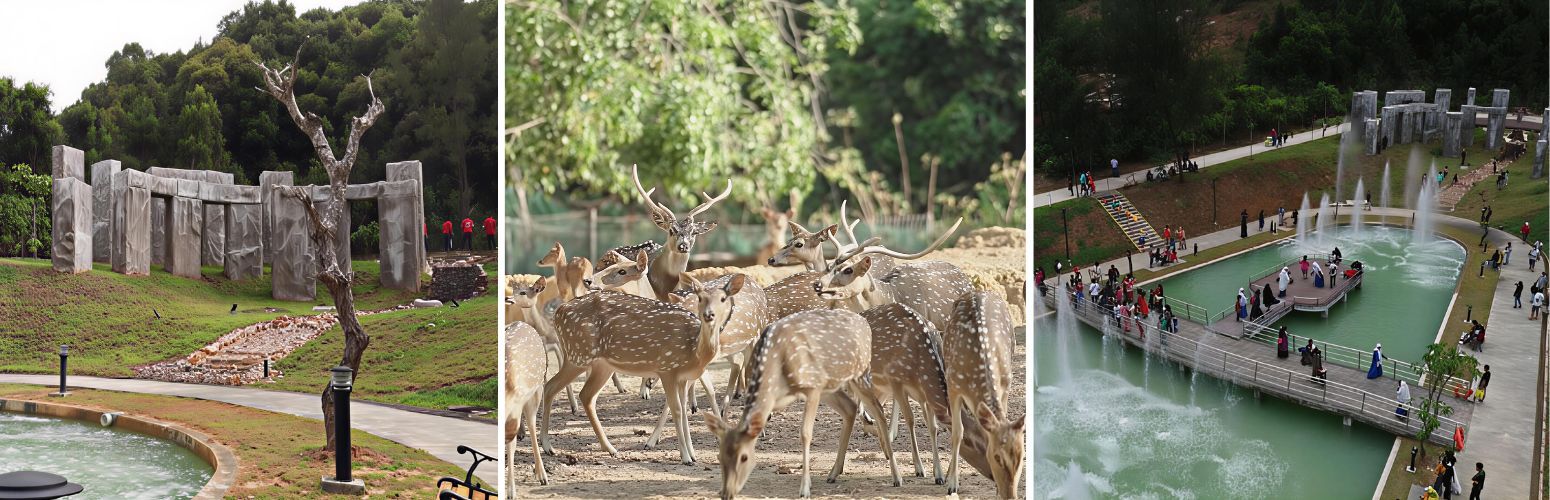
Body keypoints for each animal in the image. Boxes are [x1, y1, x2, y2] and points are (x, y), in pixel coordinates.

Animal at [541, 276, 752, 465]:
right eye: (700, 298)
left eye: (723, 299)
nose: (709, 315)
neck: (694, 351)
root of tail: (558, 313)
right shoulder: (667, 368)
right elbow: (676, 409)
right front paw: (685, 457)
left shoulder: (683, 377)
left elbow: (684, 411)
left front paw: (693, 455)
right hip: (579, 354)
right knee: (551, 386)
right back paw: (548, 446)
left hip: (601, 364)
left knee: (584, 395)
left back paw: (609, 448)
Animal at [702, 308, 902, 499]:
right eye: (719, 456)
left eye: (744, 457)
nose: (727, 493)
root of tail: (865, 322)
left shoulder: (811, 388)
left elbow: (805, 433)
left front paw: (805, 488)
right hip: (830, 385)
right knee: (850, 408)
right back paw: (833, 473)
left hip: (859, 373)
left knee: (878, 409)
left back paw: (896, 477)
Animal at [943, 291, 1023, 498]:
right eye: (997, 457)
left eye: (1022, 456)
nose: (1010, 496)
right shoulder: (953, 385)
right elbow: (958, 432)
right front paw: (952, 484)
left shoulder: (1006, 384)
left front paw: (996, 491)